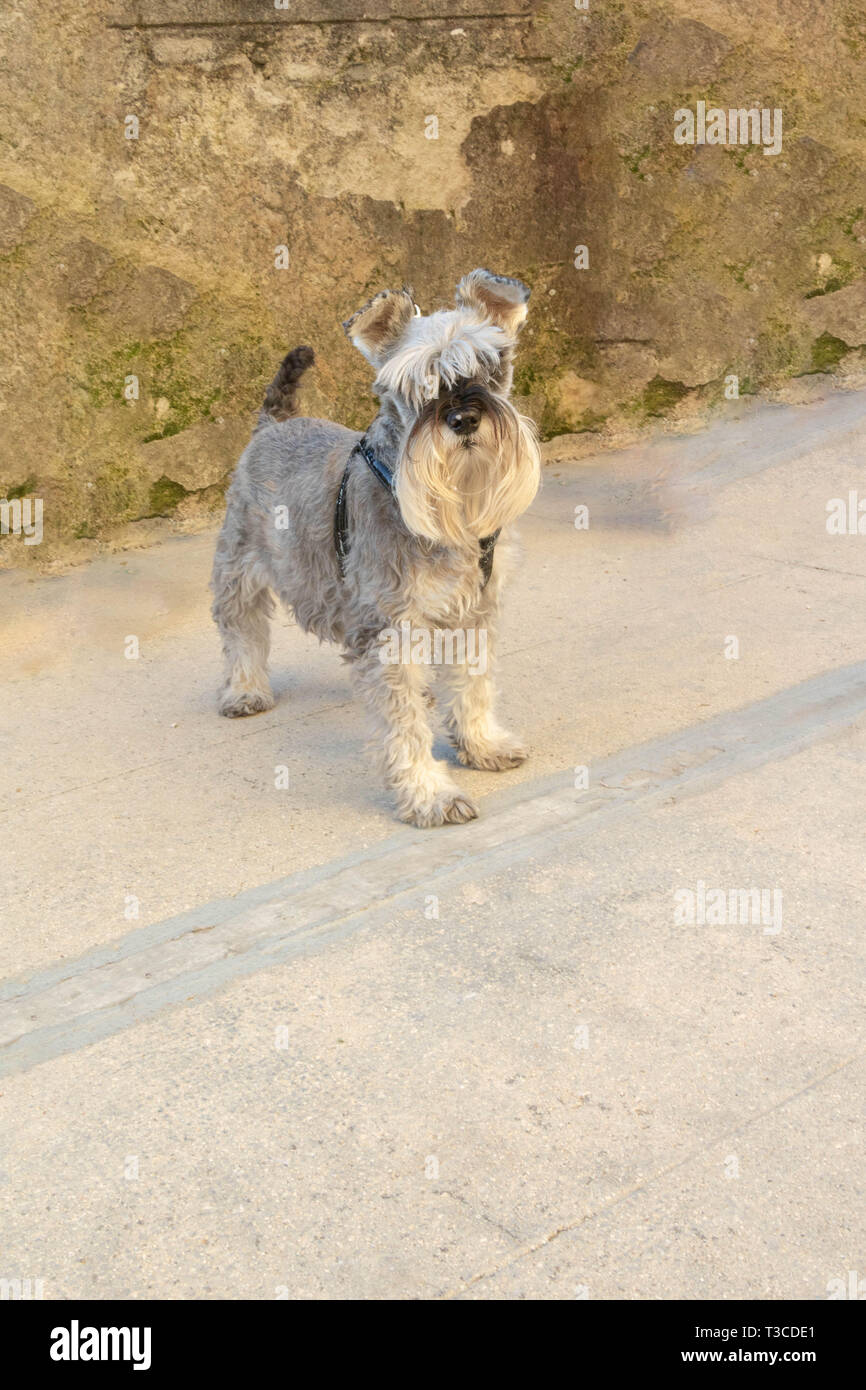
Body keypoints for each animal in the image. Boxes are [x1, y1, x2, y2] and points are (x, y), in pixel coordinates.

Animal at [211, 268, 539, 822]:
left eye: (489, 366)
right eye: (416, 384)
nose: (464, 420)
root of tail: (274, 423)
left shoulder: (473, 614)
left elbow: (472, 686)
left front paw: (482, 744)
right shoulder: (390, 629)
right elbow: (402, 725)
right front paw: (429, 793)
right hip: (240, 565)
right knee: (242, 631)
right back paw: (245, 690)